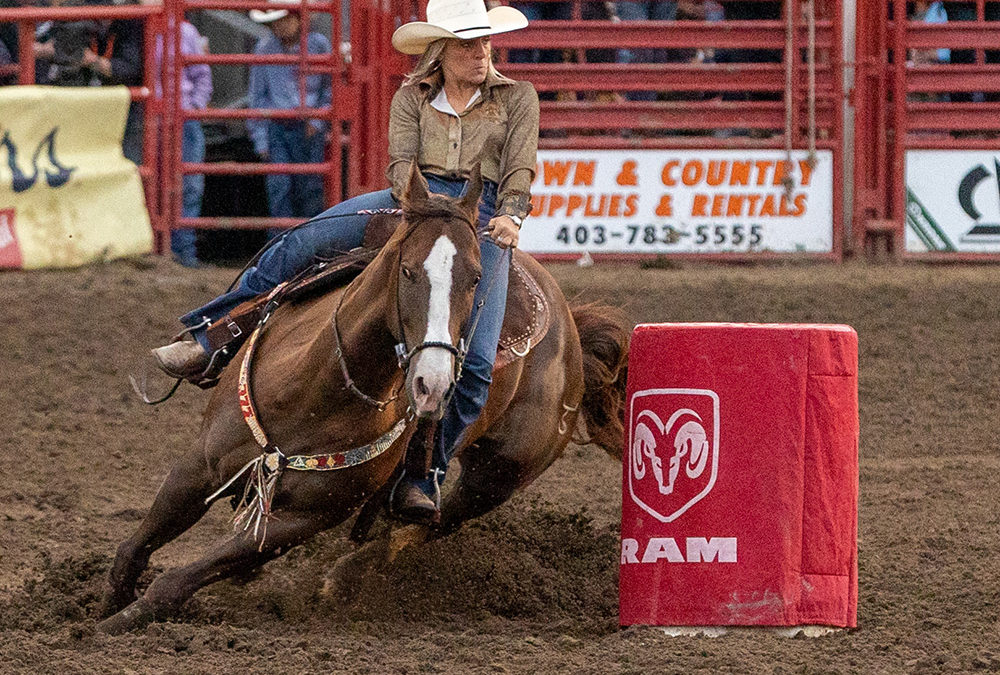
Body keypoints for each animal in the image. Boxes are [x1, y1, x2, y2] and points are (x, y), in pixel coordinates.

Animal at [97, 164, 628, 632]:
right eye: (408, 270)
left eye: (477, 278)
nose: (433, 383)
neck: (313, 391)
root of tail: (572, 329)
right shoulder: (200, 465)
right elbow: (135, 547)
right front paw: (103, 607)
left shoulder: (306, 517)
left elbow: (178, 579)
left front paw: (115, 624)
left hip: (497, 477)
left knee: (427, 524)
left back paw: (341, 579)